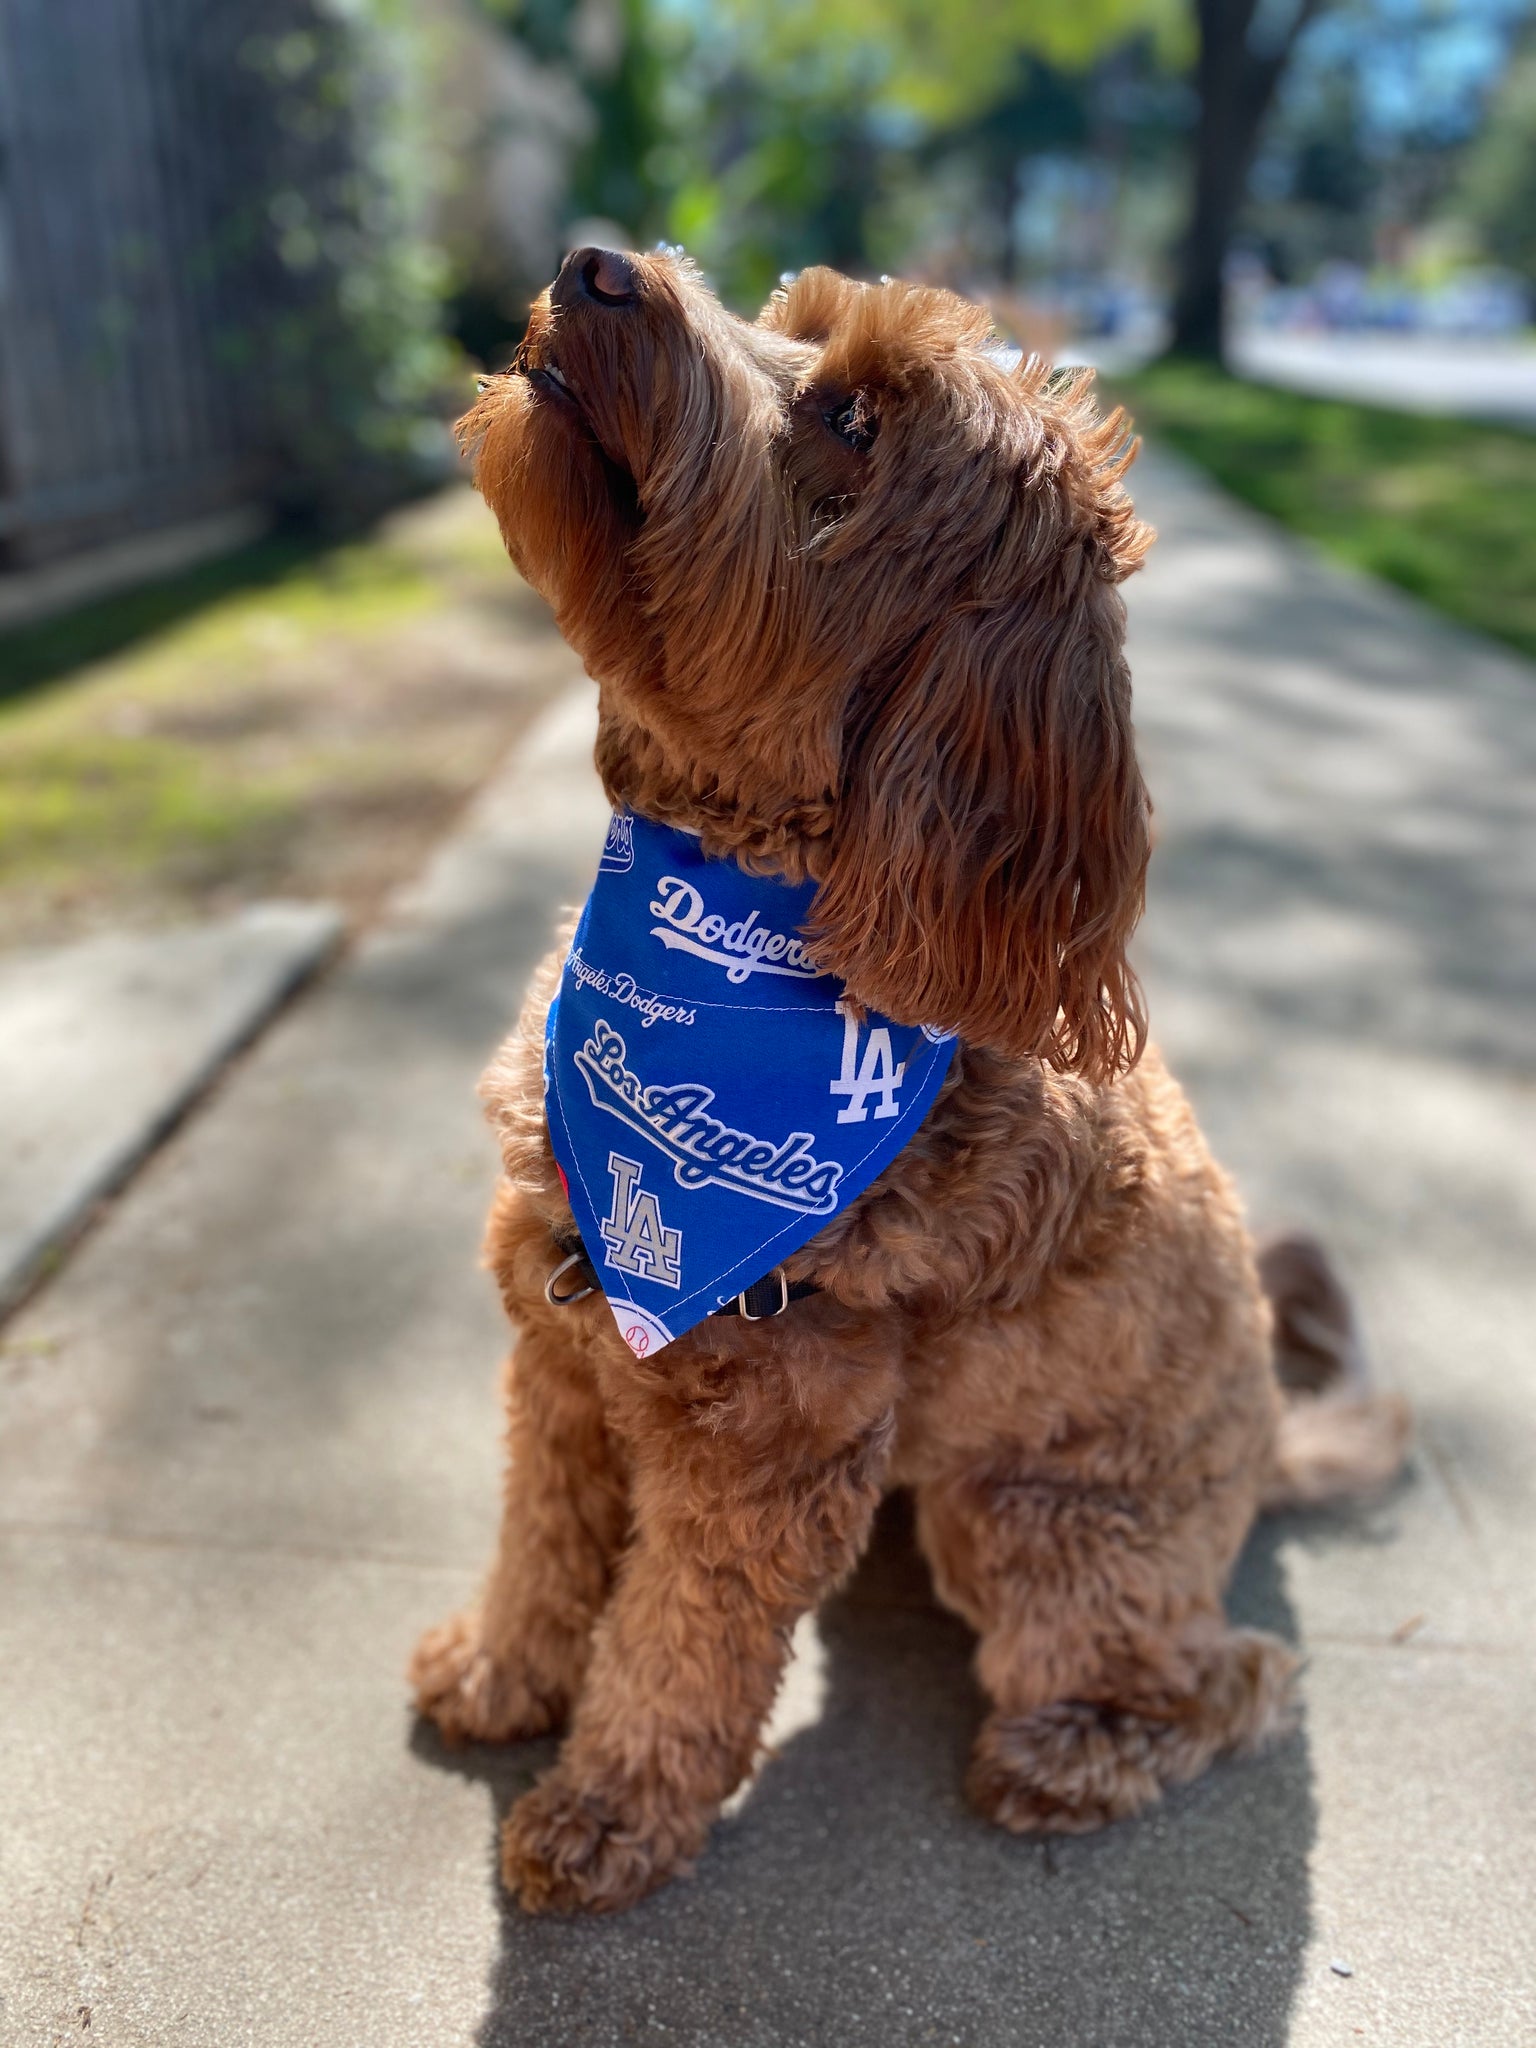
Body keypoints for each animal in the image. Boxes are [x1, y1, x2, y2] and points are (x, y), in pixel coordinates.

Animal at [405, 247, 1409, 1908]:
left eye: (859, 422)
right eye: (783, 321)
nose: (598, 264)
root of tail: (1268, 1441)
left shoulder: (761, 1447)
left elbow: (679, 1645)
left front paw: (607, 1808)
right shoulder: (558, 1361)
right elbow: (542, 1547)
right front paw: (500, 1674)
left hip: (1034, 1521)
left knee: (1226, 1673)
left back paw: (1073, 1756)